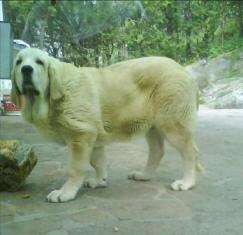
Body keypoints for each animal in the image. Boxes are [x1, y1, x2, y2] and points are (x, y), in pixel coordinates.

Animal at [10, 47, 201, 202]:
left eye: (39, 62)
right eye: (19, 62)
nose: (26, 69)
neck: (55, 94)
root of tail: (183, 70)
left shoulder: (80, 135)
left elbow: (75, 168)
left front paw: (65, 193)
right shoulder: (91, 136)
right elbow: (97, 161)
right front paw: (100, 181)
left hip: (173, 123)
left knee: (190, 152)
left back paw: (186, 183)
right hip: (153, 126)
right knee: (157, 152)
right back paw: (143, 175)